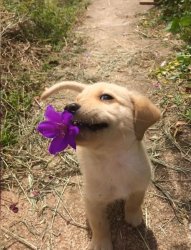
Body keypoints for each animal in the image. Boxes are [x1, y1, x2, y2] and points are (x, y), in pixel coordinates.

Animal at [41, 81, 160, 250]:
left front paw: (133, 217)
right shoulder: (93, 202)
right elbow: (99, 225)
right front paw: (101, 243)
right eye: (77, 99)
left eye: (105, 97)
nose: (69, 106)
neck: (113, 159)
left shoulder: (140, 185)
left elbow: (134, 202)